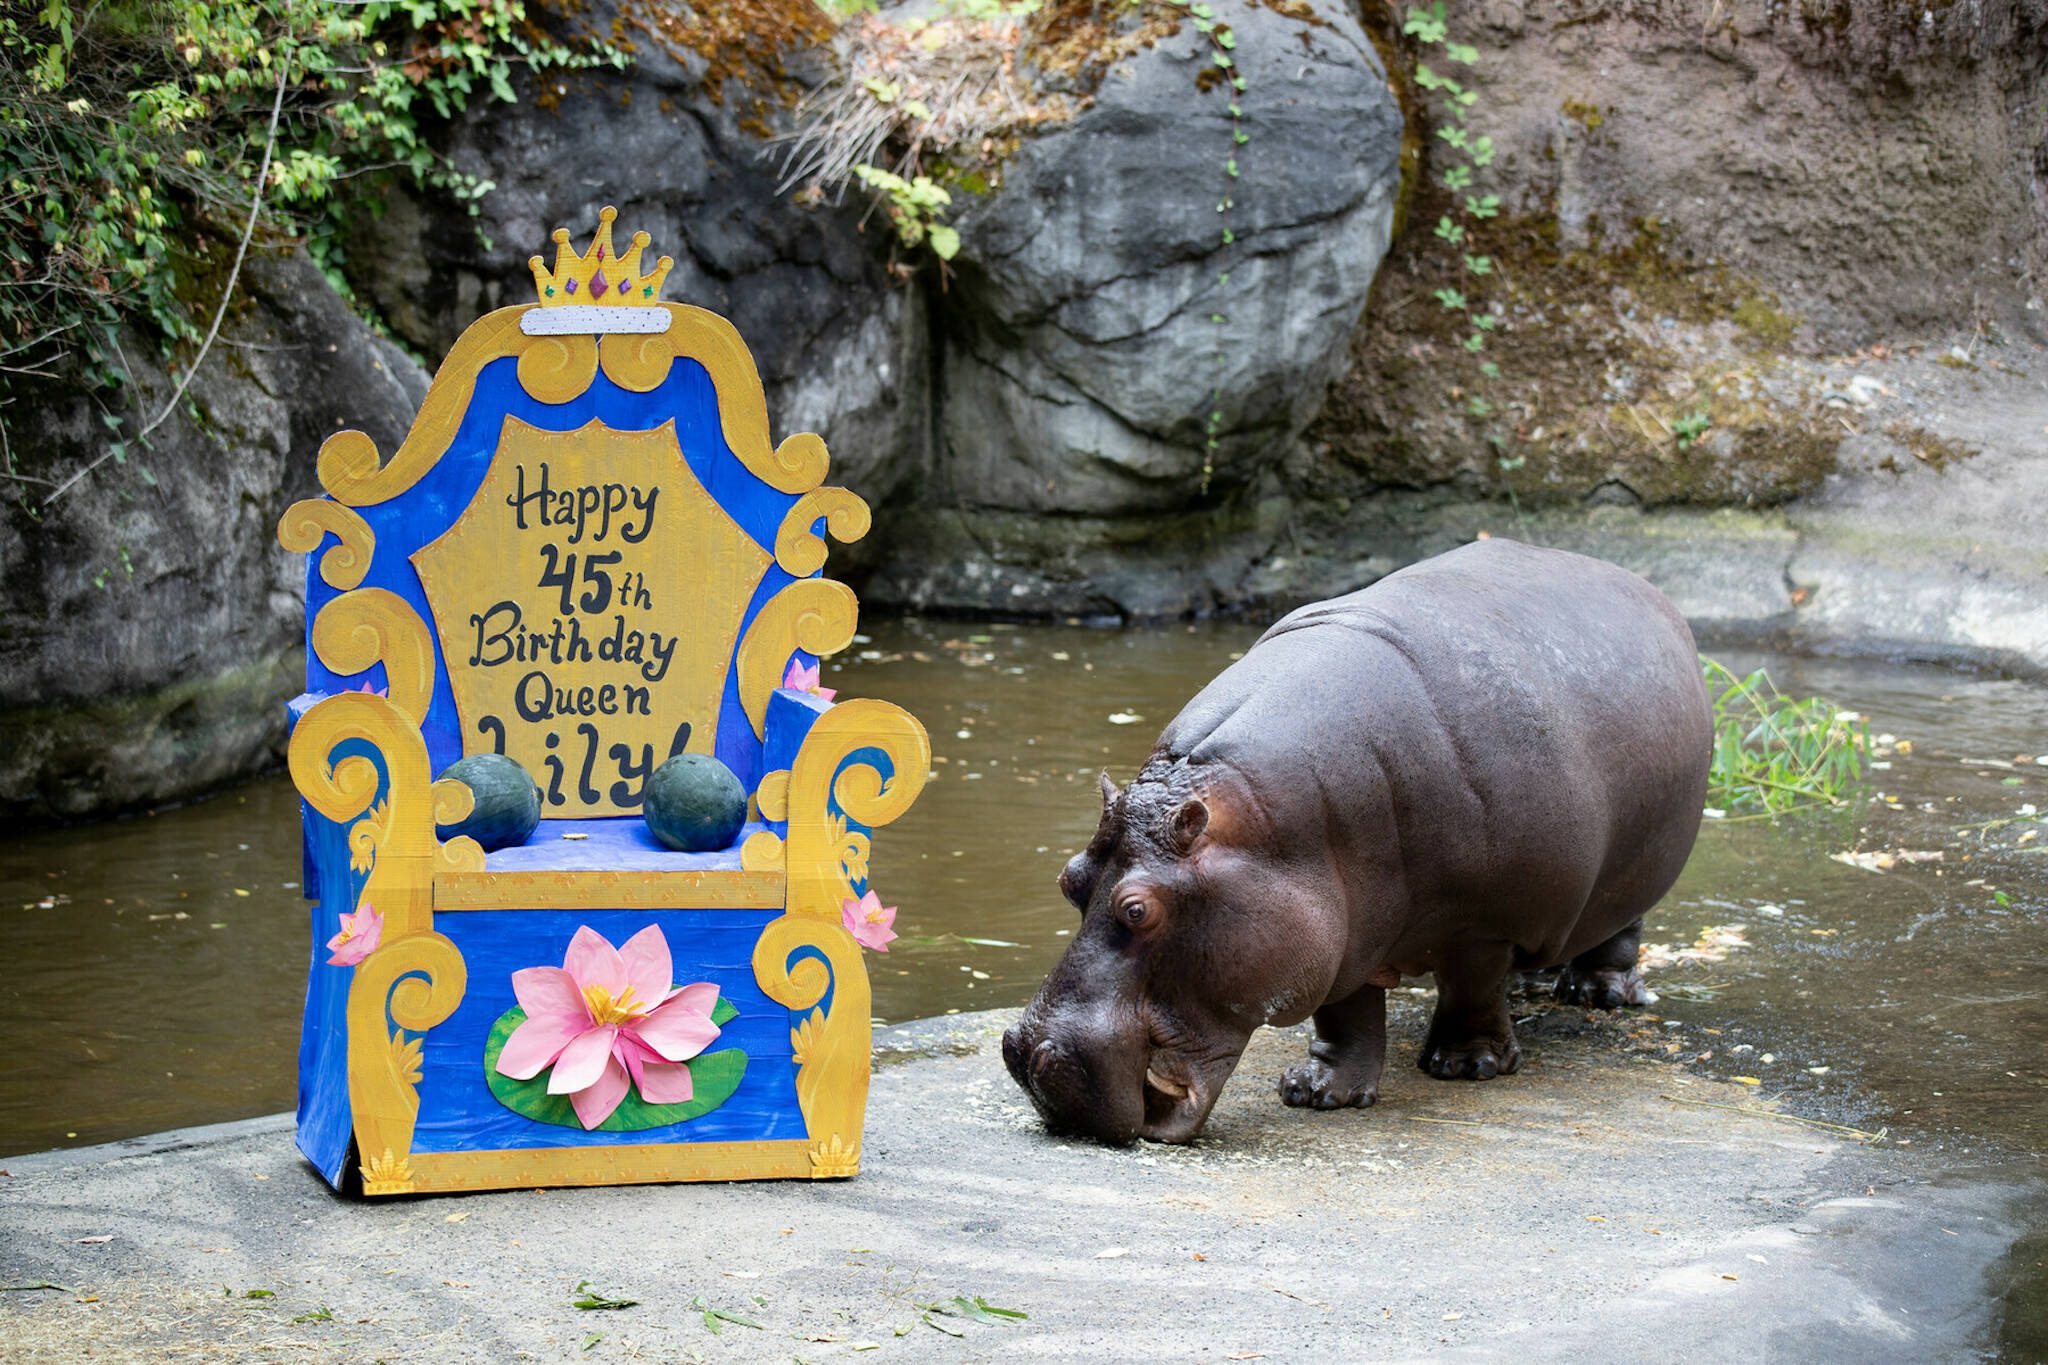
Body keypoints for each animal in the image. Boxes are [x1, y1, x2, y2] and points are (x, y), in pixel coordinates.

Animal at [1003, 536, 1712, 1146]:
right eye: (1069, 878)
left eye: (1137, 909)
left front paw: (1467, 1066)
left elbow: (1471, 985)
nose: (1030, 1057)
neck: (1277, 830)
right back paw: (1536, 986)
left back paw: (1595, 994)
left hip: (1643, 866)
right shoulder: (1339, 929)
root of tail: (1640, 586)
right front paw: (1316, 1093)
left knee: (1619, 926)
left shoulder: (1483, 923)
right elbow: (1345, 1014)